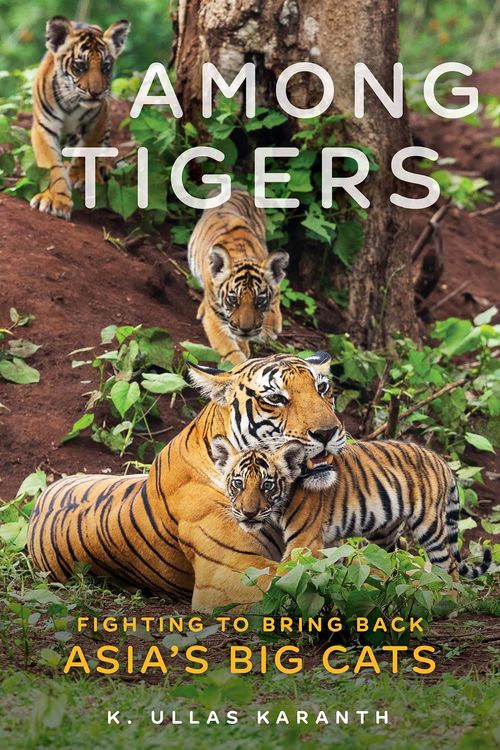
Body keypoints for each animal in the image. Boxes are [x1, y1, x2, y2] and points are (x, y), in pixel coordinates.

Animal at [30, 16, 130, 220]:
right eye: (80, 66)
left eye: (106, 66)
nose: (96, 92)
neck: (72, 101)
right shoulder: (44, 127)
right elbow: (52, 165)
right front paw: (55, 199)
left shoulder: (99, 119)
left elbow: (89, 150)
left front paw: (82, 177)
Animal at [187, 188, 289, 365]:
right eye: (233, 299)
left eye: (260, 300)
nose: (246, 330)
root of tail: (236, 187)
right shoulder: (214, 317)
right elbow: (230, 350)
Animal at [212, 439, 492, 581]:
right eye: (238, 483)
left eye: (267, 485)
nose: (248, 513)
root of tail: (441, 460)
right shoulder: (327, 542)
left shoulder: (304, 542)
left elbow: (285, 574)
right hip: (384, 533)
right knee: (388, 561)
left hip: (429, 525)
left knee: (449, 565)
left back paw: (448, 600)